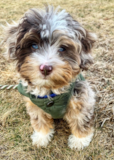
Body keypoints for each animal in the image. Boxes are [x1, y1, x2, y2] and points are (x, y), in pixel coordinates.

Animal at [4, 5, 96, 150]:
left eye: (62, 48)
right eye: (34, 45)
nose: (45, 68)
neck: (50, 92)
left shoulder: (80, 99)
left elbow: (80, 119)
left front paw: (80, 140)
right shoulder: (34, 105)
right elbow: (40, 121)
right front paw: (42, 136)